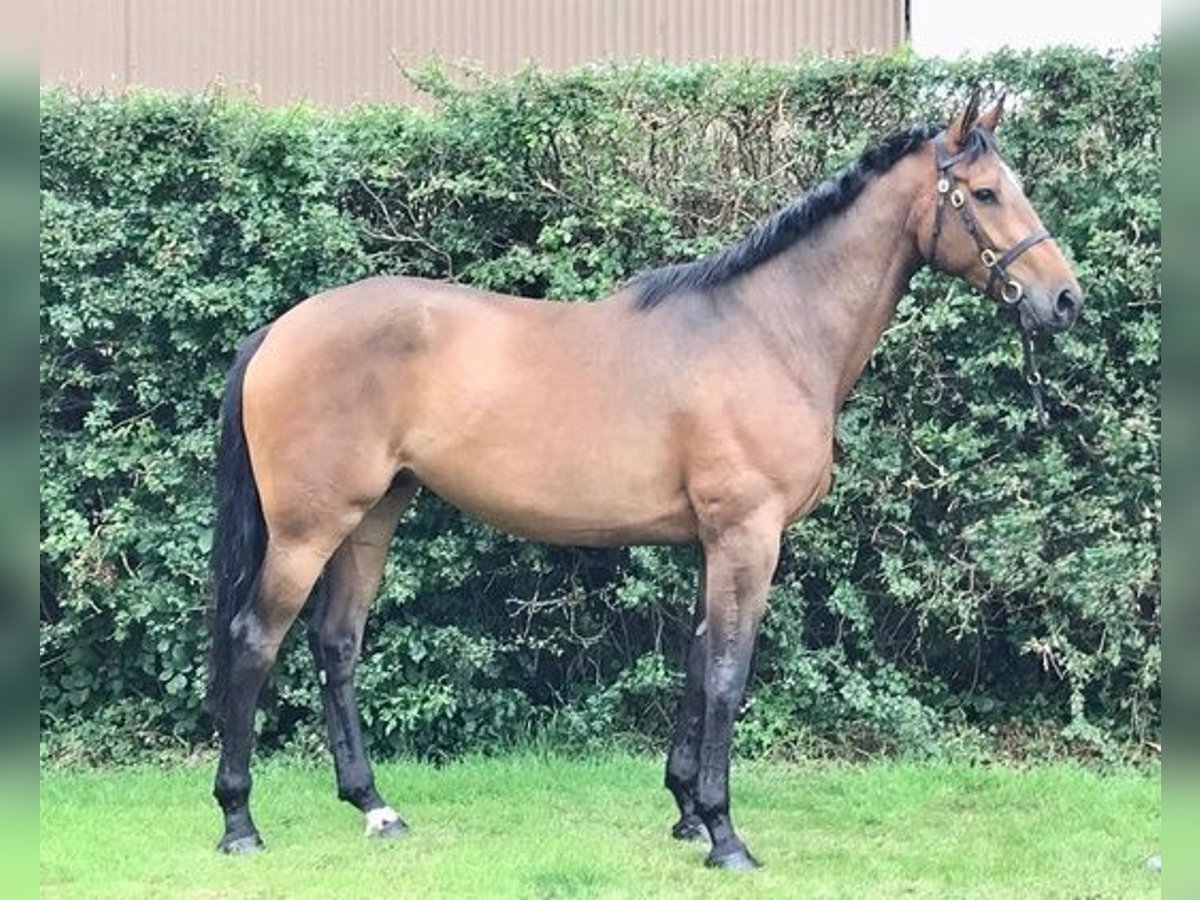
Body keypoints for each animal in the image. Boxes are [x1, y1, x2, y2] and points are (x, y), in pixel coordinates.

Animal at [206, 95, 1089, 868]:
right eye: (984, 193)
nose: (1065, 299)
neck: (769, 332)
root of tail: (280, 329)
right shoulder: (747, 536)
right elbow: (729, 674)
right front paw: (726, 837)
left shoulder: (713, 542)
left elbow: (698, 663)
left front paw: (688, 812)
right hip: (309, 529)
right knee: (255, 642)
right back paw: (239, 822)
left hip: (373, 516)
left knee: (337, 643)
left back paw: (375, 806)